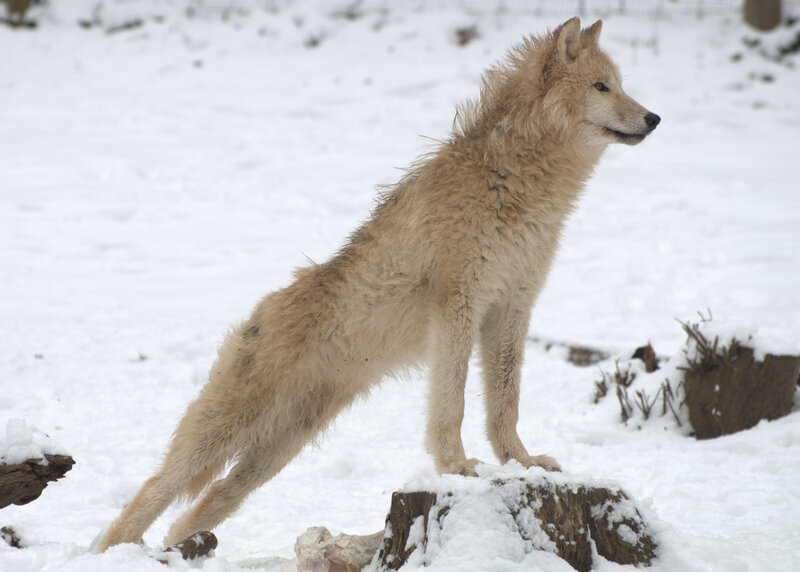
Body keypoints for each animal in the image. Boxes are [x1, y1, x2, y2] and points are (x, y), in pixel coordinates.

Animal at [97, 17, 659, 552]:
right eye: (602, 86)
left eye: (621, 85)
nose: (653, 118)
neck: (516, 186)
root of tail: (260, 311)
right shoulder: (458, 305)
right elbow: (452, 405)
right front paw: (456, 467)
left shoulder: (512, 308)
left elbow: (505, 404)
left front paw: (521, 463)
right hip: (225, 434)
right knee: (151, 493)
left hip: (274, 453)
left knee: (196, 511)